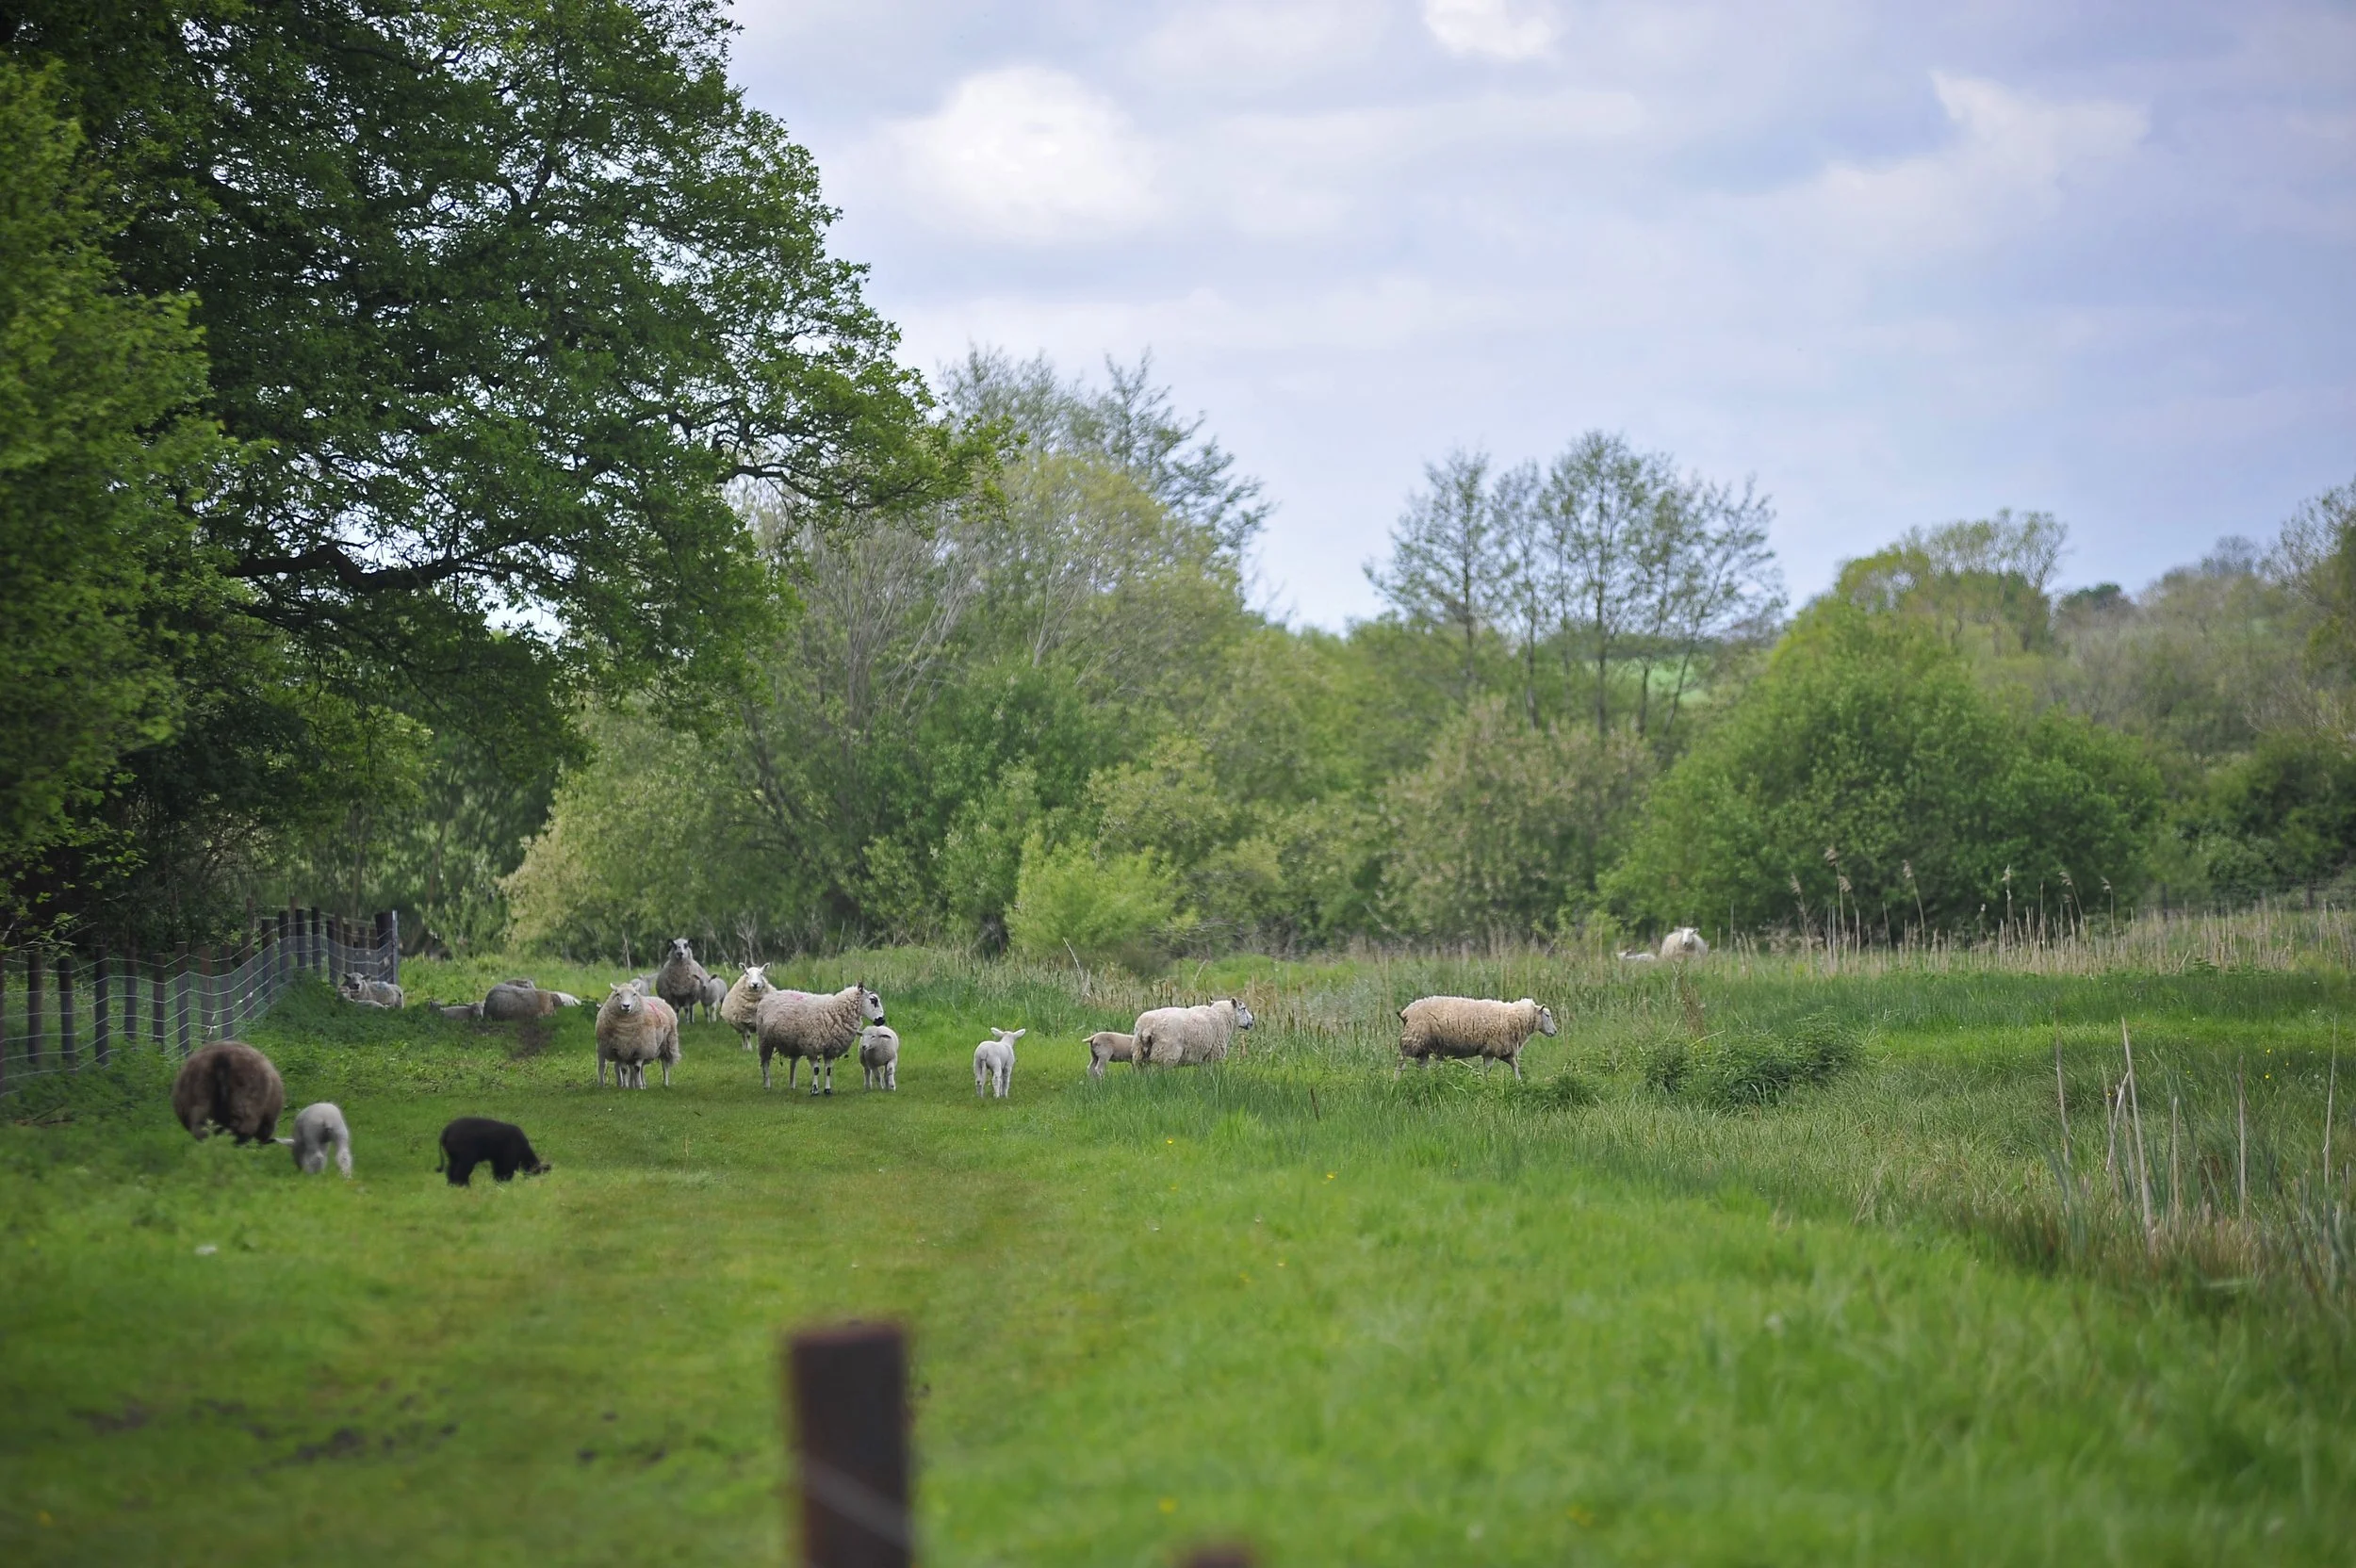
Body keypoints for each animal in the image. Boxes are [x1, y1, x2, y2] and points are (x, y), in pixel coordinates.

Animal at [757, 984, 884, 1095]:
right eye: (873, 1001)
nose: (882, 1020)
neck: (835, 1011)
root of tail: (769, 996)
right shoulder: (812, 1047)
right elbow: (816, 1070)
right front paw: (814, 1090)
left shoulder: (830, 1049)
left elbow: (828, 1070)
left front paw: (827, 1090)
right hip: (765, 1040)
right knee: (765, 1062)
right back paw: (767, 1085)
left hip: (794, 1044)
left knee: (793, 1064)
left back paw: (792, 1085)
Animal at [1131, 999, 1255, 1069]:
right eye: (1243, 1008)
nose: (1252, 1020)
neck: (1222, 1017)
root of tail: (1147, 1026)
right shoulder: (1213, 1055)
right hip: (1165, 1055)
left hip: (1139, 1053)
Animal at [1394, 996, 1558, 1080]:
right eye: (1547, 1015)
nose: (1555, 1032)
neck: (1514, 1017)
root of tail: (1406, 1012)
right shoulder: (1492, 1049)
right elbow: (1489, 1069)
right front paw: (1486, 1082)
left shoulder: (1501, 1051)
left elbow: (1514, 1065)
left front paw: (1518, 1081)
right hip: (1413, 1039)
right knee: (1401, 1062)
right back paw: (1396, 1080)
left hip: (1423, 1047)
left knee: (1421, 1066)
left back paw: (1426, 1079)